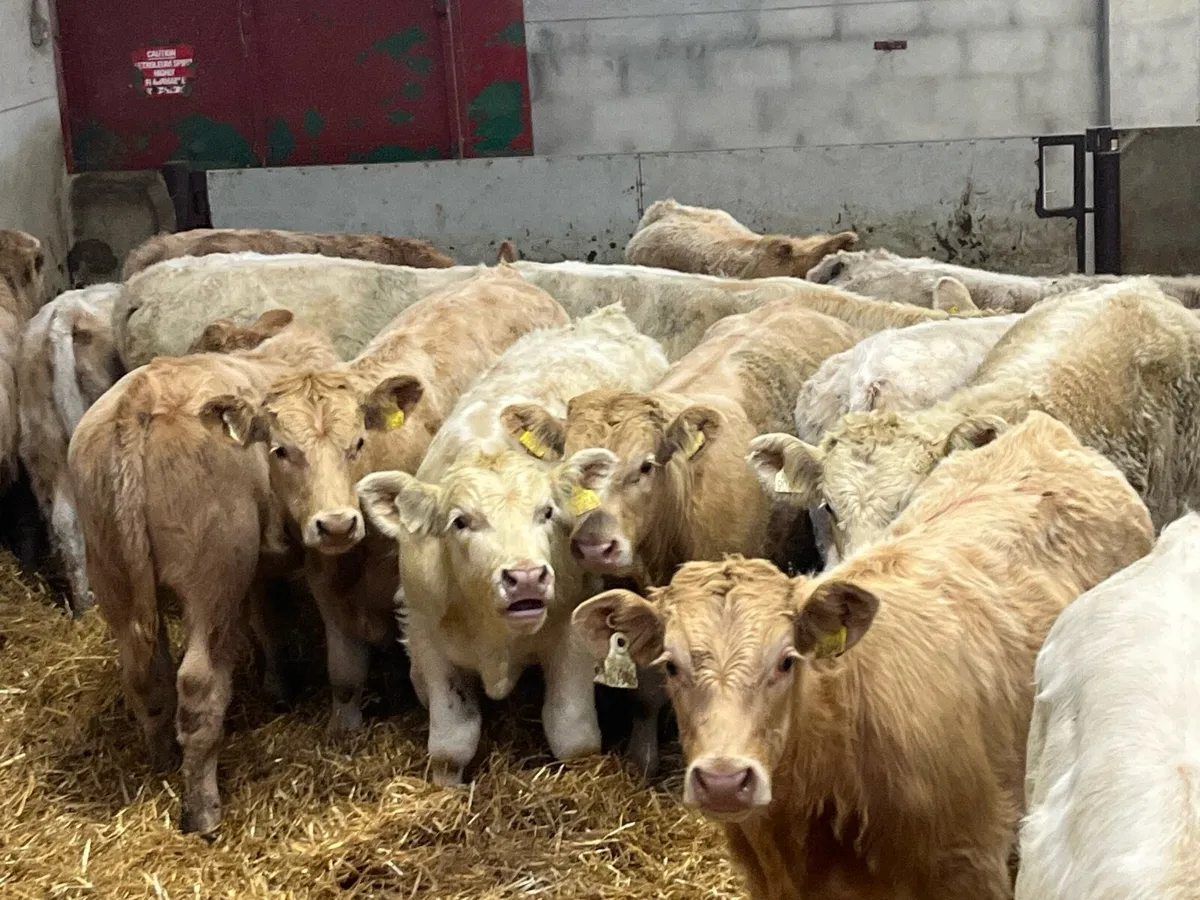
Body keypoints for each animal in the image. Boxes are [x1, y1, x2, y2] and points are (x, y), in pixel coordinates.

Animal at [68, 311, 337, 835]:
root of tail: (142, 396)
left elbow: (268, 623)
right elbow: (272, 621)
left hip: (111, 571)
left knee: (145, 675)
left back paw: (161, 762)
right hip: (213, 573)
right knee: (198, 682)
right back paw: (203, 808)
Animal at [228, 266, 569, 735]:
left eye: (357, 442)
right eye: (281, 450)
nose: (336, 524)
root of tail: (505, 272)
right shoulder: (326, 582)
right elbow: (344, 672)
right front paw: (345, 730)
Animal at [357, 303, 669, 784]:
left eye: (547, 512)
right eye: (460, 521)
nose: (525, 577)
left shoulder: (574, 632)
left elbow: (572, 733)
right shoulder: (427, 635)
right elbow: (452, 742)